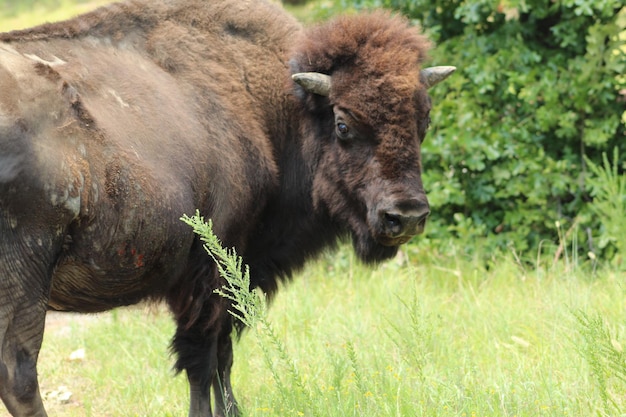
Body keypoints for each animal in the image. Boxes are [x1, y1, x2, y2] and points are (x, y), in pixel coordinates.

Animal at [1, 0, 454, 414]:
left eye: (424, 122)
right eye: (343, 124)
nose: (406, 216)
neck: (278, 108)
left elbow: (223, 355)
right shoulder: (214, 270)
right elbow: (202, 358)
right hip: (26, 277)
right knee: (19, 372)